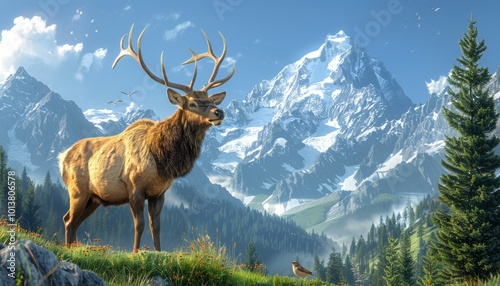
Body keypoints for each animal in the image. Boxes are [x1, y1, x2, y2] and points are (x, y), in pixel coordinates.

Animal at [59, 24, 235, 252]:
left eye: (210, 100)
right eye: (192, 103)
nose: (218, 112)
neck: (162, 161)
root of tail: (62, 157)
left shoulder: (159, 193)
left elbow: (156, 226)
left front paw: (158, 252)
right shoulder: (134, 187)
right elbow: (139, 224)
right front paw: (135, 252)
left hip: (94, 198)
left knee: (72, 221)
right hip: (77, 189)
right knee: (69, 220)